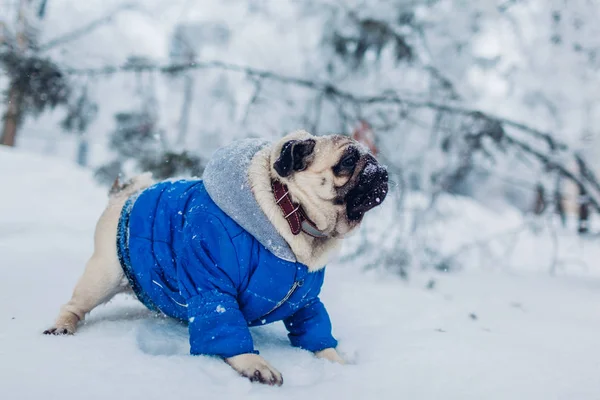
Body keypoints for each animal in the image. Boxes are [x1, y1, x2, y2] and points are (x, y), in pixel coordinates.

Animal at [43, 130, 390, 386]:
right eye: (348, 161)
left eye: (373, 158)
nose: (382, 170)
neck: (290, 212)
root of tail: (127, 194)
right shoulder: (211, 284)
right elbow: (224, 327)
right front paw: (254, 364)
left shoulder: (306, 301)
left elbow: (316, 331)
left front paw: (336, 362)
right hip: (102, 276)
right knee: (75, 305)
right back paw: (62, 327)